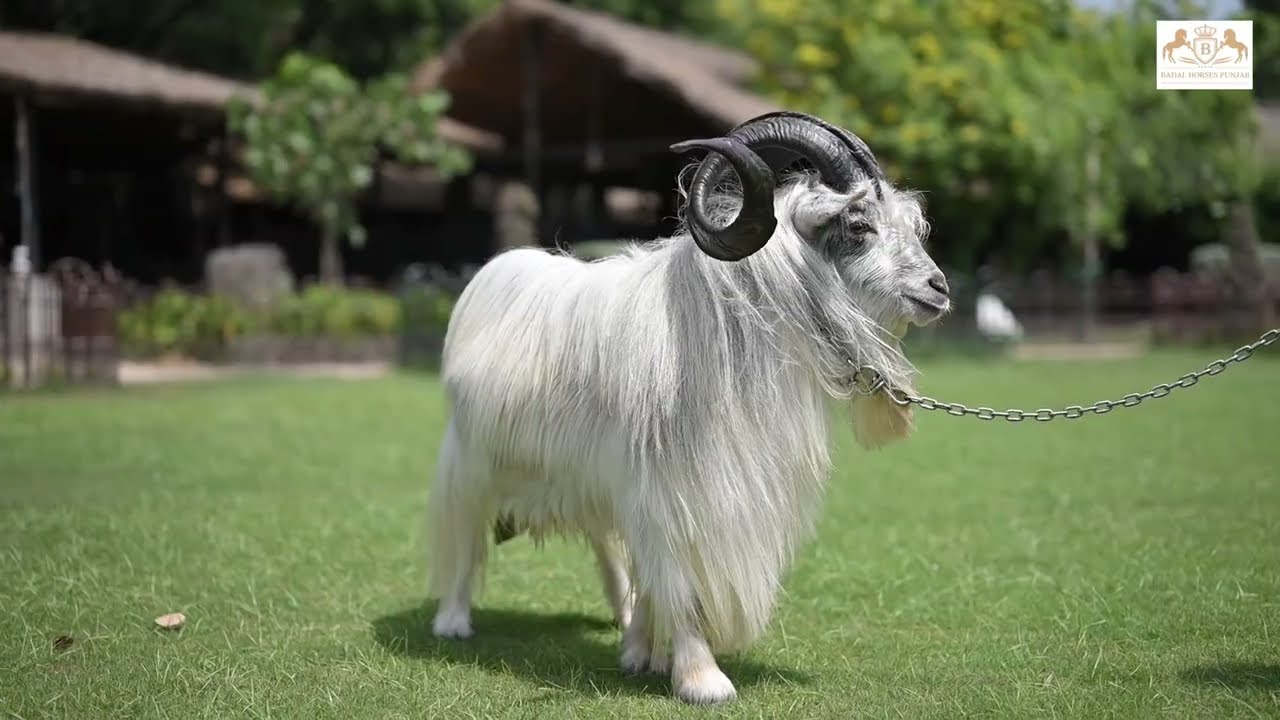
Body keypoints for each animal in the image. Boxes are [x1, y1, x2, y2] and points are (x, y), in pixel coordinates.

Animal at [425, 111, 950, 704]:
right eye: (859, 225)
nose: (938, 289)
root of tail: (499, 272)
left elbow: (656, 576)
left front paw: (643, 654)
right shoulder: (671, 495)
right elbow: (679, 581)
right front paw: (702, 678)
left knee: (607, 548)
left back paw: (624, 619)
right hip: (471, 462)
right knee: (464, 533)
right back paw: (452, 621)